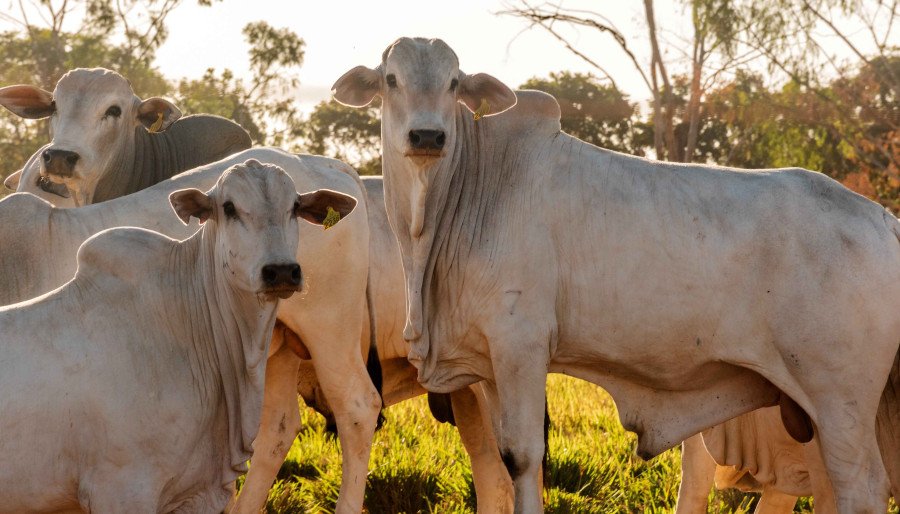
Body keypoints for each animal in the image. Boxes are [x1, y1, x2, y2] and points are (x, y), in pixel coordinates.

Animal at [0, 146, 384, 510]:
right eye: (228, 207)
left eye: (295, 207)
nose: (281, 271)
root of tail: (326, 162)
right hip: (282, 348)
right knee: (279, 426)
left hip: (331, 327)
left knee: (357, 407)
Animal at [336, 38, 900, 510]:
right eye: (391, 79)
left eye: (454, 82)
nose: (428, 135)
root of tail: (881, 218)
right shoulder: (490, 360)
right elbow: (502, 458)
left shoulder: (521, 344)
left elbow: (523, 457)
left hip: (839, 399)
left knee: (861, 486)